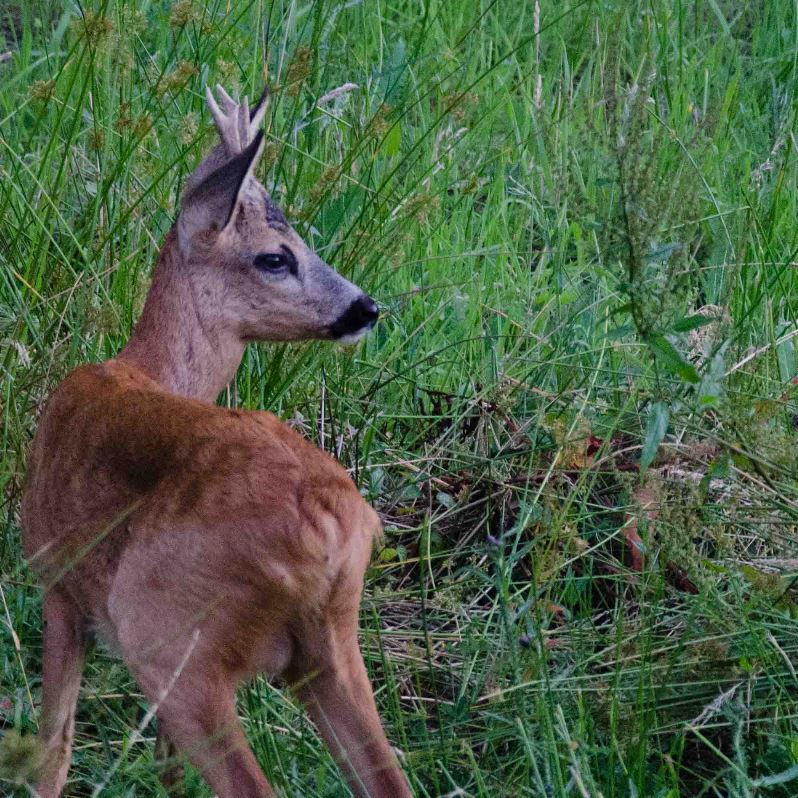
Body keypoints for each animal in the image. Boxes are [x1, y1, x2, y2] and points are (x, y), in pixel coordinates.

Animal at [21, 83, 416, 798]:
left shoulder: (59, 582)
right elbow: (166, 766)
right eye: (276, 255)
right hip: (331, 646)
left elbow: (53, 750)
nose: (364, 309)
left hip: (168, 639)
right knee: (387, 780)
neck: (143, 369)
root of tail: (326, 521)